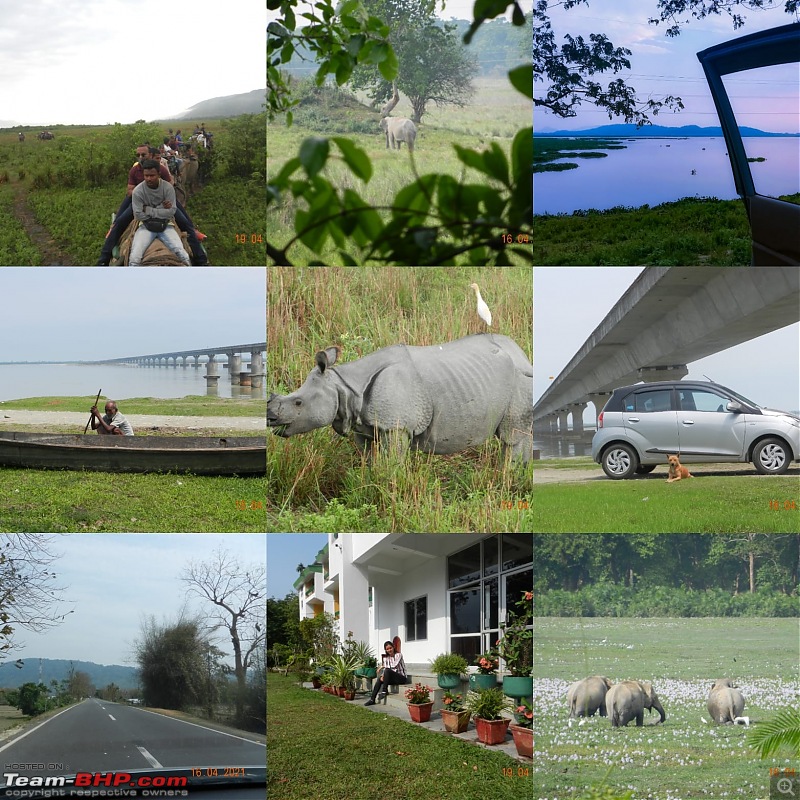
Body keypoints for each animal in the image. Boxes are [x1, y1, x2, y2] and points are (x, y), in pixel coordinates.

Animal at [266, 332, 536, 460]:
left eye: (298, 402)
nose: (270, 418)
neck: (344, 385)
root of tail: (522, 354)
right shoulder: (364, 427)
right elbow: (369, 460)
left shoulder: (396, 426)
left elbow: (391, 463)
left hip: (521, 379)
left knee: (513, 435)